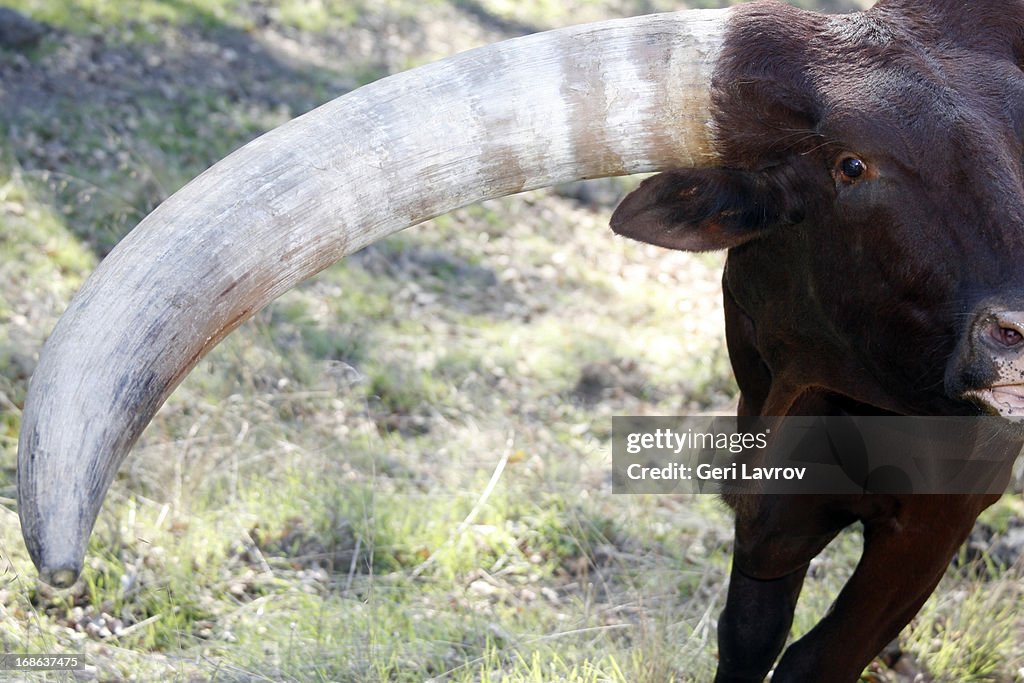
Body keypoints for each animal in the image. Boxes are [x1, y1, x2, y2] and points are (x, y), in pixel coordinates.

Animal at [14, 0, 1024, 679]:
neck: (824, 397)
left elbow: (816, 658)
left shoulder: (937, 514)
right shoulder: (764, 497)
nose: (1016, 334)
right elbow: (748, 641)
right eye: (852, 164)